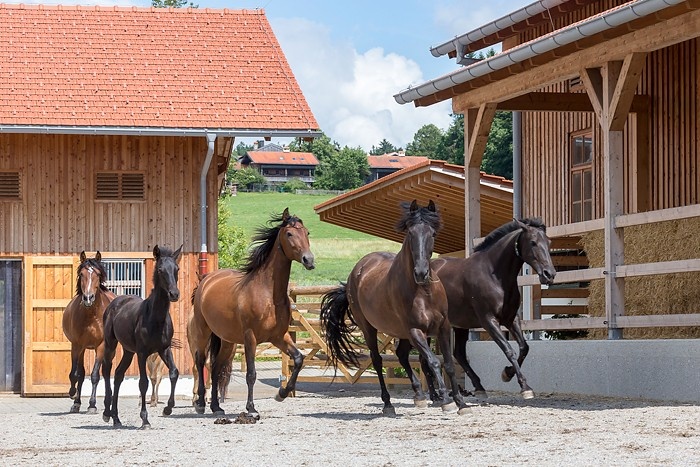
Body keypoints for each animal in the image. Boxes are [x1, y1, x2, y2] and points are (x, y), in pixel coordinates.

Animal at [61, 251, 116, 414]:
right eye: (82, 274)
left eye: (97, 274)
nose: (88, 298)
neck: (92, 315)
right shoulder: (77, 345)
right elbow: (76, 374)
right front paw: (73, 395)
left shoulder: (101, 346)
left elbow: (95, 375)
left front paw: (92, 405)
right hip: (83, 348)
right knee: (81, 373)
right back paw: (77, 403)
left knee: (106, 371)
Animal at [101, 244, 182, 428]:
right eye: (160, 270)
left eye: (177, 269)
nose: (174, 294)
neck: (156, 318)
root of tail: (116, 301)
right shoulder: (142, 353)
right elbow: (143, 383)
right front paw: (145, 419)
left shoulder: (164, 349)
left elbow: (174, 373)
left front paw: (168, 409)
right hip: (111, 344)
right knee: (107, 370)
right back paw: (107, 413)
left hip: (128, 351)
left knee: (118, 375)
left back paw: (116, 418)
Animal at [190, 208, 315, 419]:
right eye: (289, 233)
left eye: (307, 232)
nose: (309, 260)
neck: (268, 294)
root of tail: (206, 280)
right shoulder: (251, 338)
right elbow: (251, 374)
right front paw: (251, 408)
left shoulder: (279, 337)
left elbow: (298, 359)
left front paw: (281, 394)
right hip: (203, 331)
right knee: (200, 362)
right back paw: (199, 404)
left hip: (227, 341)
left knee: (216, 368)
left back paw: (216, 407)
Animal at [320, 200, 466, 416]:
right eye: (410, 234)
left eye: (432, 233)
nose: (421, 273)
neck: (424, 292)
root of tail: (358, 270)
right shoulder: (415, 330)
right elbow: (433, 361)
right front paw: (446, 401)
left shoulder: (443, 328)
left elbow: (447, 364)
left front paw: (460, 403)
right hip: (370, 328)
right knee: (377, 359)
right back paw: (388, 404)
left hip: (402, 333)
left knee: (402, 355)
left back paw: (419, 396)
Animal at [427, 218, 556, 400]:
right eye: (533, 242)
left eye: (549, 242)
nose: (549, 274)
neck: (493, 275)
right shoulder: (489, 320)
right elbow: (509, 350)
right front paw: (524, 386)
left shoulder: (511, 319)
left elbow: (524, 347)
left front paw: (507, 373)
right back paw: (434, 396)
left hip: (460, 325)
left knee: (459, 353)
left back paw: (478, 387)